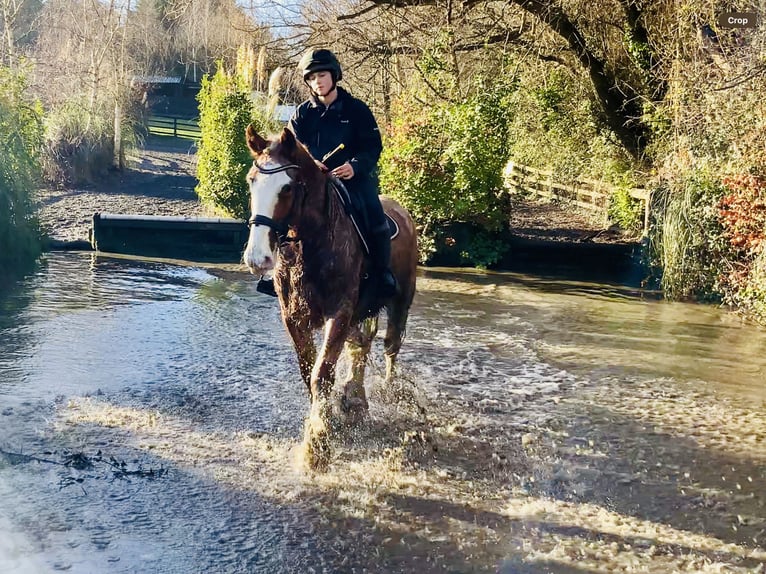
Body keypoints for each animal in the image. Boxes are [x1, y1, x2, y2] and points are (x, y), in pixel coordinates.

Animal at [242, 125, 418, 470]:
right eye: (251, 180)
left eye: (286, 188)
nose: (258, 258)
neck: (311, 243)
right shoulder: (294, 317)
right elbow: (309, 371)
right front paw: (328, 420)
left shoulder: (340, 312)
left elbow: (321, 374)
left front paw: (317, 445)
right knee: (360, 345)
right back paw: (355, 397)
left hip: (400, 300)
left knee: (391, 346)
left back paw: (388, 390)